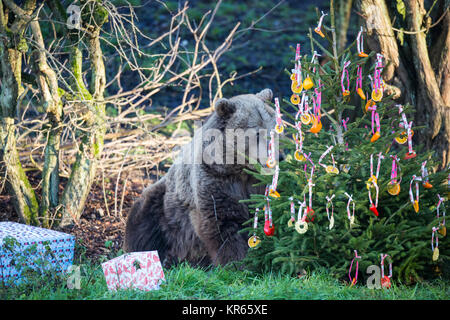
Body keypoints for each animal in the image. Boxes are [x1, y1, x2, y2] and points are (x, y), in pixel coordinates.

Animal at [124, 89, 278, 266]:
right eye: (257, 133)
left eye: (274, 130)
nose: (278, 157)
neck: (240, 170)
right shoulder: (215, 179)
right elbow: (223, 223)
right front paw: (236, 263)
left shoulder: (257, 185)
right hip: (163, 205)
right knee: (144, 225)